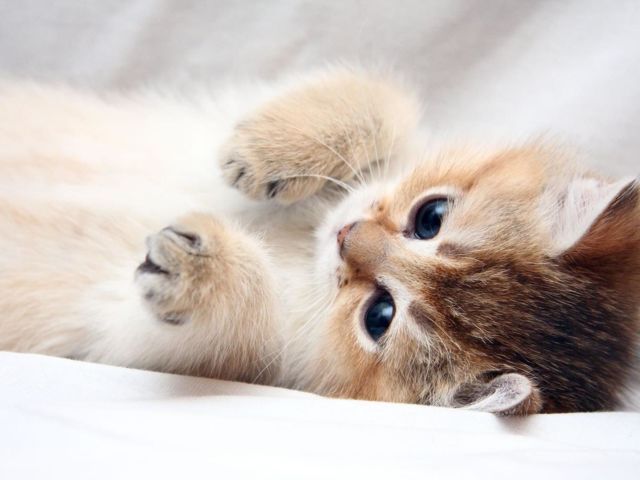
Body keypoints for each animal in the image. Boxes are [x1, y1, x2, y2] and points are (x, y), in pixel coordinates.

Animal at [0, 68, 638, 414]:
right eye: (431, 216)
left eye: (380, 316)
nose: (348, 235)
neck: (301, 242)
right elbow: (383, 103)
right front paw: (266, 151)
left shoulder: (143, 339)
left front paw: (202, 271)